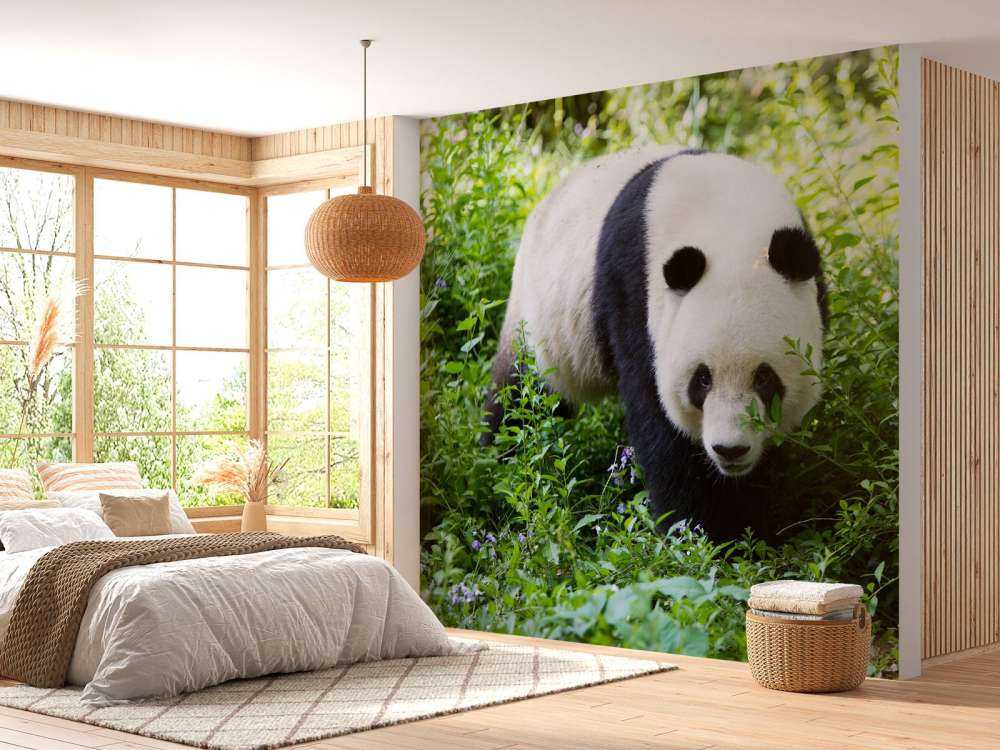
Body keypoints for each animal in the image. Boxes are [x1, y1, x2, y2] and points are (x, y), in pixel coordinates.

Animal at [484, 146, 827, 540]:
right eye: (702, 379)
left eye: (764, 378)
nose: (730, 450)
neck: (729, 228)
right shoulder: (635, 292)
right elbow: (661, 425)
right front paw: (700, 532)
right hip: (539, 318)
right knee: (520, 400)